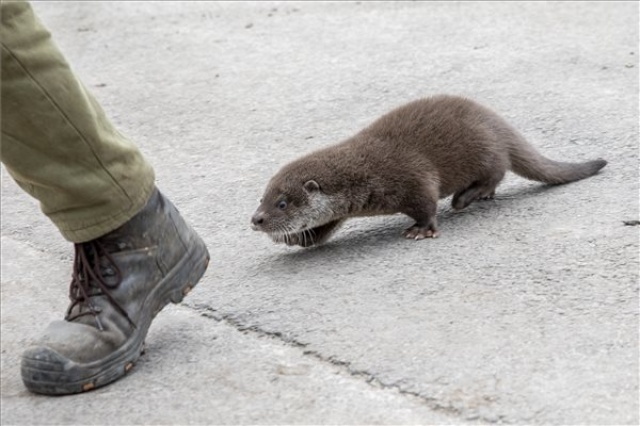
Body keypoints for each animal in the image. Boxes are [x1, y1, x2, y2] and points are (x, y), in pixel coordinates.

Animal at [250, 94, 604, 246]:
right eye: (261, 198)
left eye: (282, 203)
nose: (256, 220)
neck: (365, 175)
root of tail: (499, 123)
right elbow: (324, 227)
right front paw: (296, 240)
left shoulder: (411, 177)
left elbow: (427, 203)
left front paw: (422, 229)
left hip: (486, 150)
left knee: (498, 171)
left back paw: (465, 198)